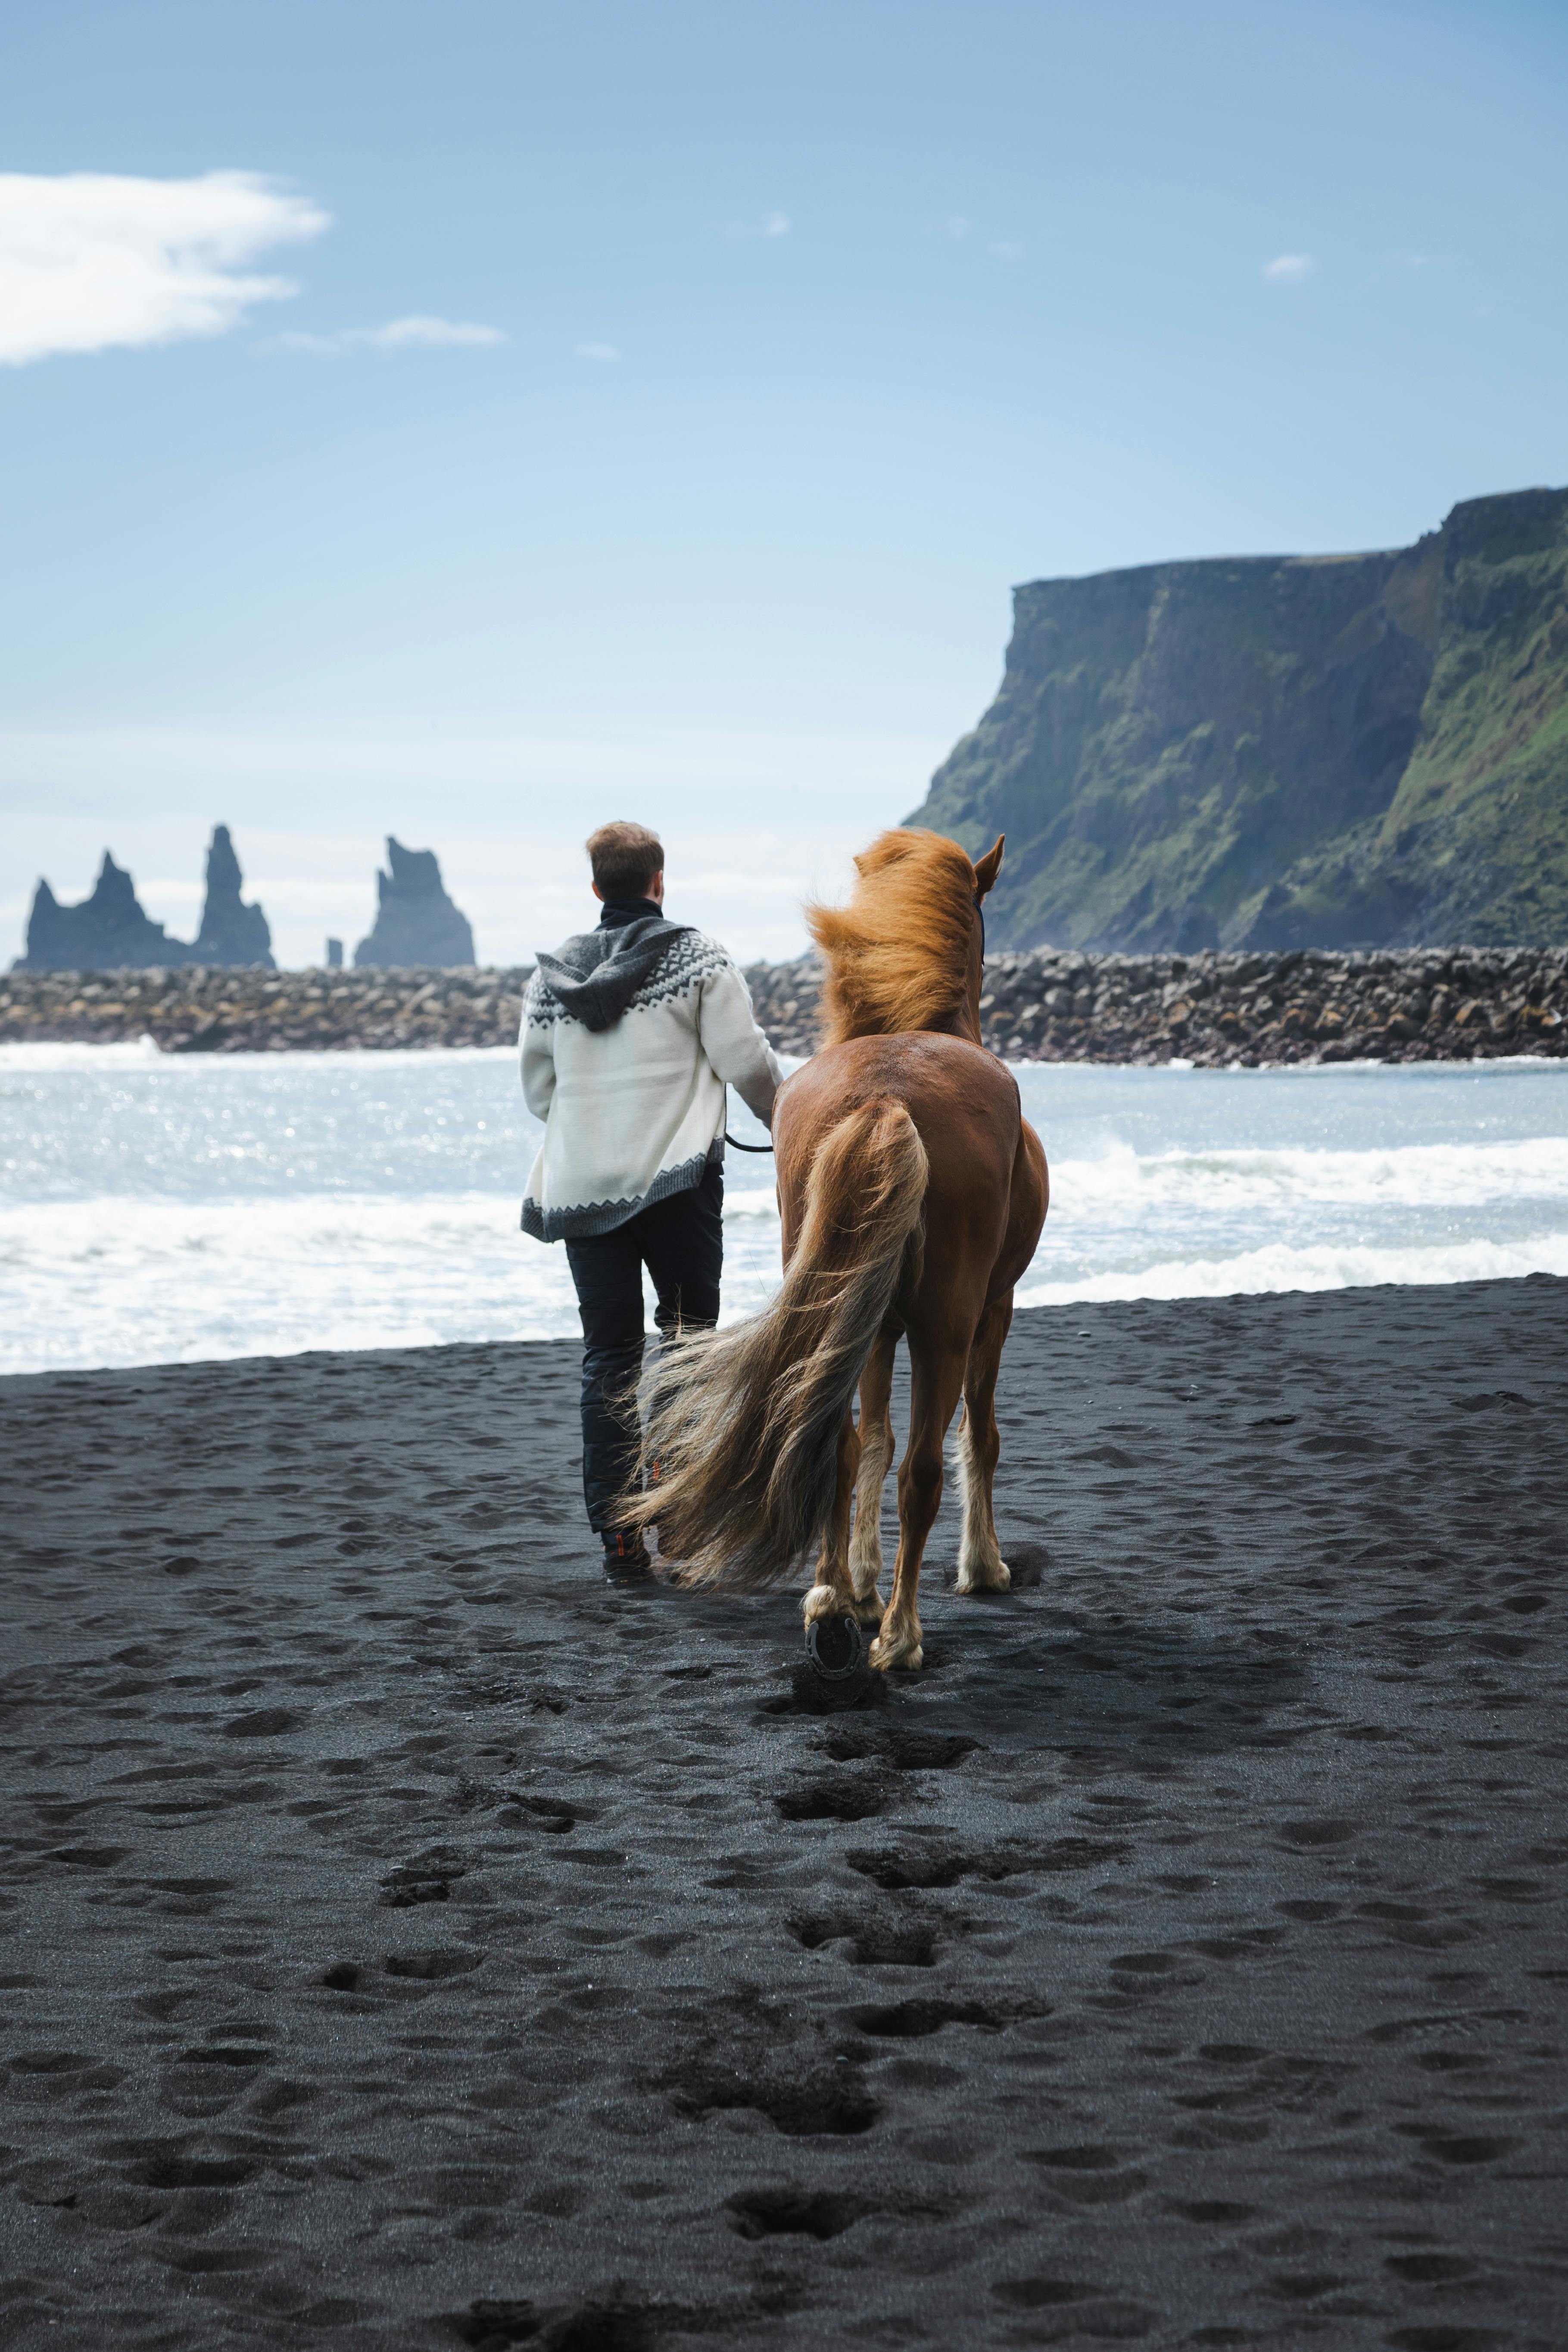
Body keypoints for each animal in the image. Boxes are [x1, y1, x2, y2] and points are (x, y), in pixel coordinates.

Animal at [620, 826, 1048, 1670]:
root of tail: (886, 1096)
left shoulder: (874, 1326)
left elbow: (870, 1442)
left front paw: (856, 1581)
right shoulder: (994, 1309)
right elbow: (975, 1437)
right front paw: (981, 1566)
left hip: (835, 1307)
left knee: (831, 1441)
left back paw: (830, 1607)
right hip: (948, 1324)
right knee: (921, 1467)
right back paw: (900, 1635)